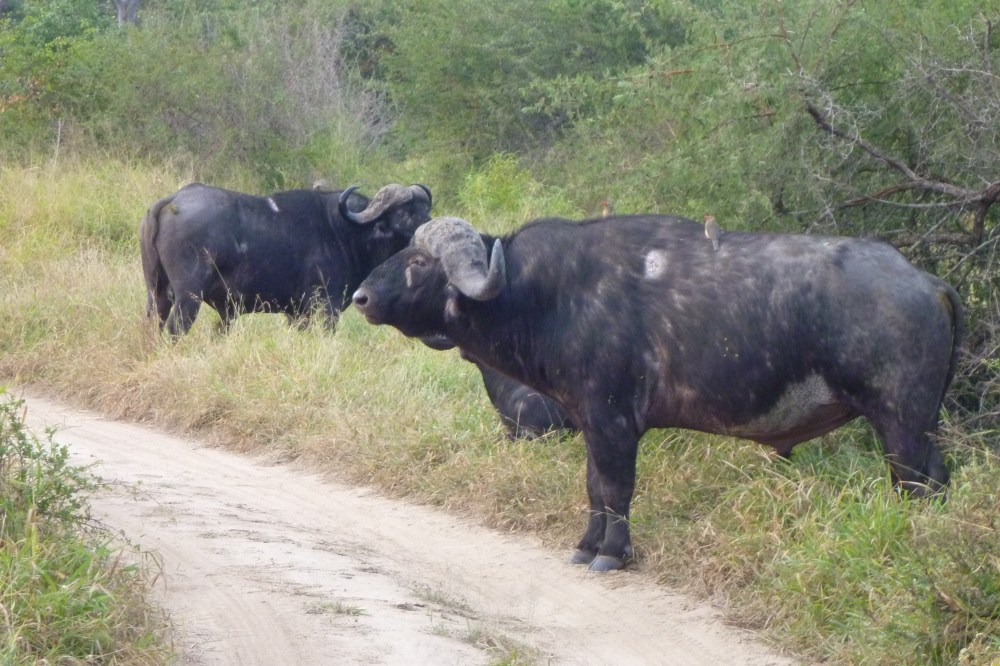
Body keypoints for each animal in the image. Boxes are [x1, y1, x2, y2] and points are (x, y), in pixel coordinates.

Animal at [140, 182, 431, 334]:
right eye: (403, 213)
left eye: (426, 211)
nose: (428, 230)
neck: (346, 232)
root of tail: (172, 200)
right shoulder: (327, 306)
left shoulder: (296, 313)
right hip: (188, 297)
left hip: (157, 293)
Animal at [352, 214, 963, 571]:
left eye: (419, 261)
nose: (360, 297)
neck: (547, 295)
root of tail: (926, 281)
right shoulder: (591, 425)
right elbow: (594, 488)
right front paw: (586, 546)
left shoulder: (614, 424)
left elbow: (616, 490)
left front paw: (612, 555)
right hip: (920, 428)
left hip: (902, 425)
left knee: (917, 487)